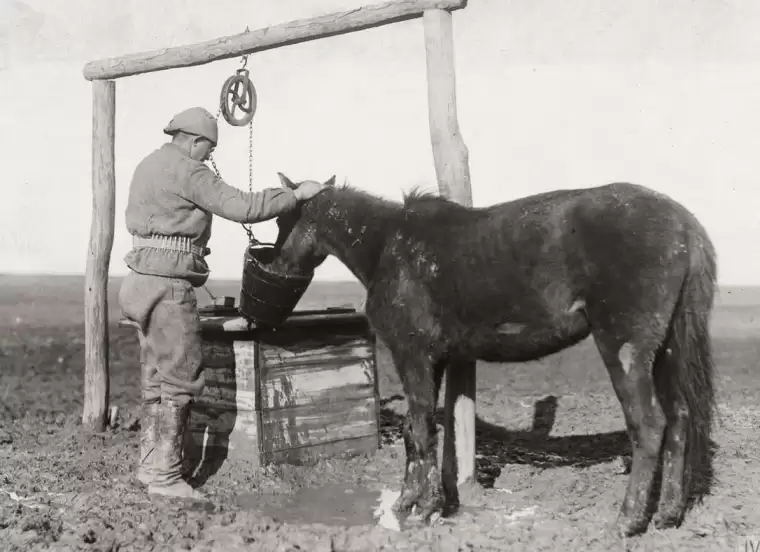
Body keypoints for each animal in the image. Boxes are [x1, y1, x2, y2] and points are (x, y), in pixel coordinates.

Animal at [268, 170, 720, 536]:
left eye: (280, 218)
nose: (275, 265)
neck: (388, 246)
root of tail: (683, 223)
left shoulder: (412, 356)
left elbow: (420, 432)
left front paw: (422, 509)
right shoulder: (435, 361)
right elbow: (418, 432)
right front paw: (410, 502)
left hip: (625, 350)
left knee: (649, 426)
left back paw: (627, 521)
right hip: (666, 350)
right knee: (679, 420)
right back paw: (668, 515)